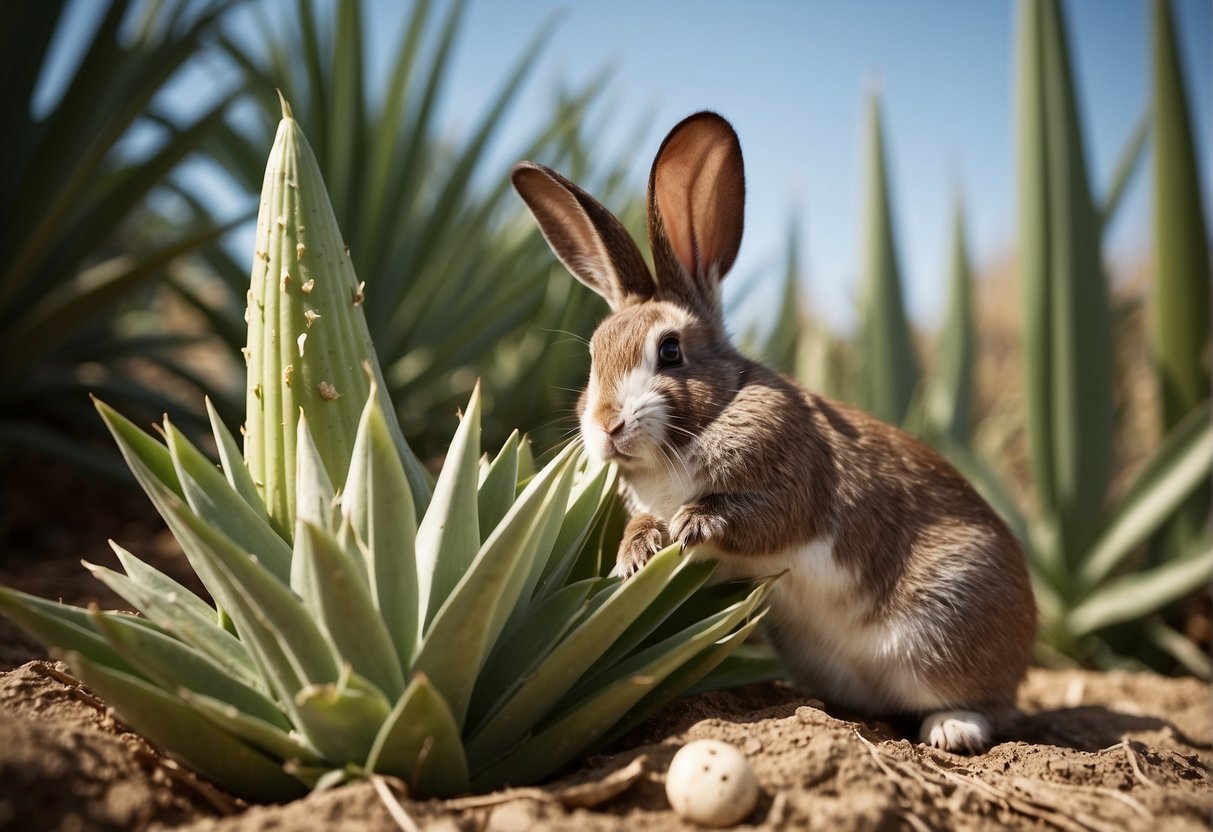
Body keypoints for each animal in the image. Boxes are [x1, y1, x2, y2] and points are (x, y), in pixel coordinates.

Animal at [510, 111, 1036, 754]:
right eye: (593, 356)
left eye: (670, 350)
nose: (607, 425)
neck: (715, 412)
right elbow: (639, 523)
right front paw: (637, 556)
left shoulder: (791, 485)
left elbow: (755, 517)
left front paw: (689, 527)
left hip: (946, 626)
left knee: (989, 703)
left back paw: (953, 728)